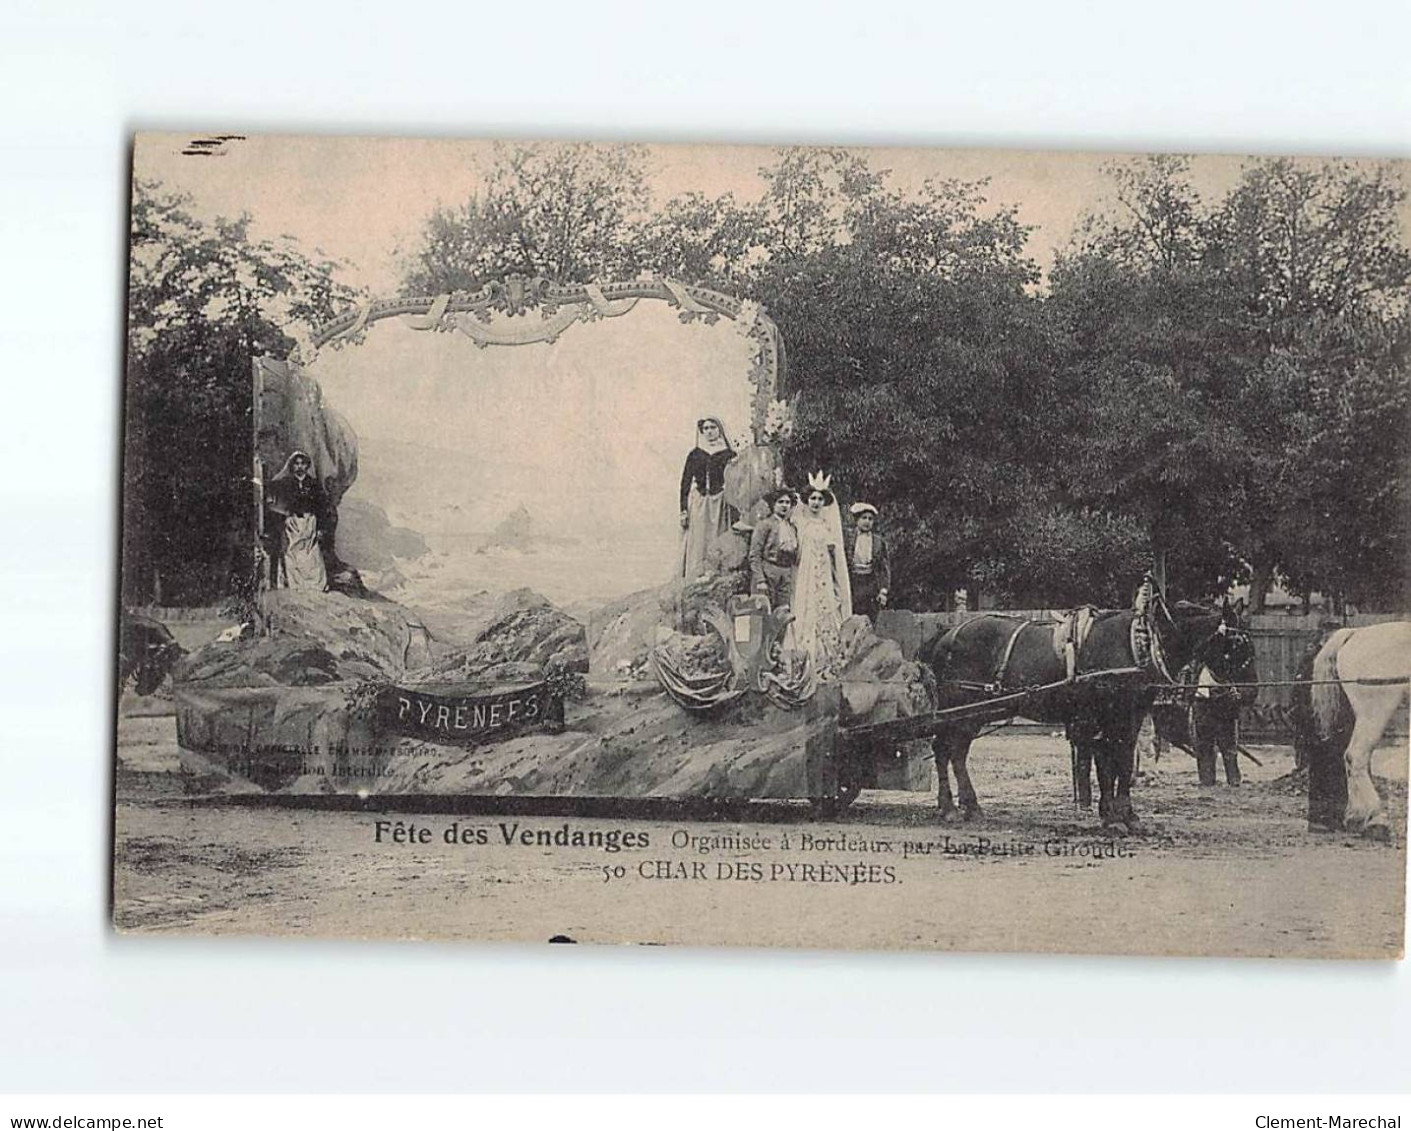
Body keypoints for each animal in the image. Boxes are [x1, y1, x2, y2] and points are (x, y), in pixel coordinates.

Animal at [919, 597, 1252, 829]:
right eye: (1236, 644)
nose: (1245, 696)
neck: (1138, 644)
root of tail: (947, 633)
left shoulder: (1128, 717)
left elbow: (1121, 762)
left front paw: (1124, 814)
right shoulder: (1107, 716)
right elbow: (1109, 764)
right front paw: (1114, 816)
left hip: (971, 715)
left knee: (956, 753)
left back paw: (970, 807)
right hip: (958, 707)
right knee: (943, 749)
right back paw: (949, 808)